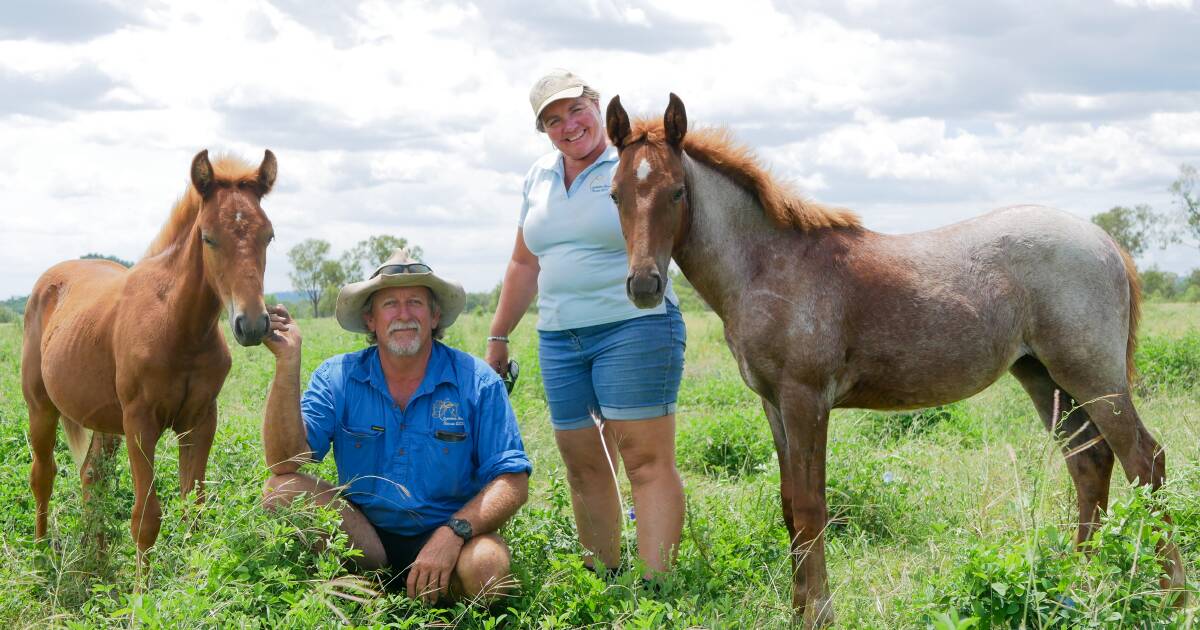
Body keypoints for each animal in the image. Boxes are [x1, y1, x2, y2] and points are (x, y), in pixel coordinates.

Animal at [22, 148, 276, 559]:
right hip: (41, 407)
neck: (179, 327)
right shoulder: (140, 423)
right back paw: (43, 553)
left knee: (92, 476)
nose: (251, 324)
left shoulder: (200, 421)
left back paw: (97, 556)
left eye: (268, 236)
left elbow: (194, 509)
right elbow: (146, 519)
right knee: (43, 475)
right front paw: (143, 580)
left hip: (104, 421)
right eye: (208, 238)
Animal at [604, 94, 1185, 624]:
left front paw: (819, 614)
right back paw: (1076, 588)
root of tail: (1104, 241)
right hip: (1044, 378)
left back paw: (1169, 596)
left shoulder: (806, 398)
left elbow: (812, 507)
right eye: (615, 194)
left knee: (1145, 462)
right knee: (1090, 464)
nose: (644, 285)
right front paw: (798, 610)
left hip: (1091, 375)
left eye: (677, 191)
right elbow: (790, 506)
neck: (767, 266)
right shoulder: (773, 404)